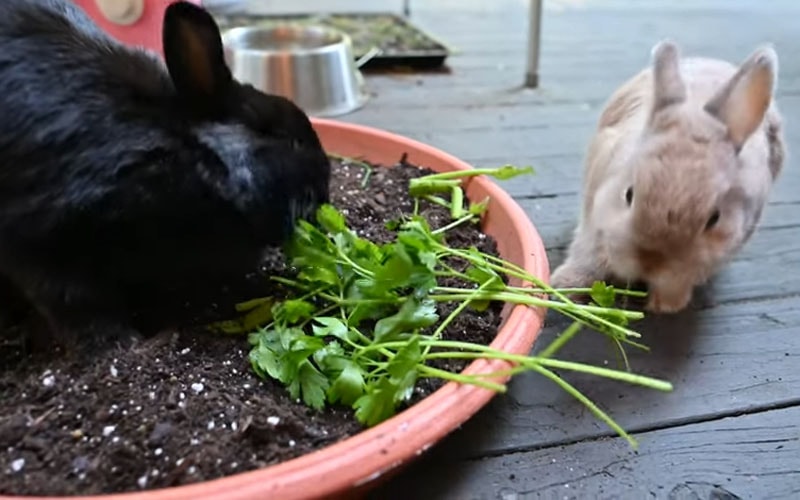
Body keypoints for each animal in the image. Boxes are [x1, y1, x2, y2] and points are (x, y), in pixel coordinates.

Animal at [549, 40, 786, 313]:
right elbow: (587, 255)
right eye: (628, 194)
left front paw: (665, 305)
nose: (650, 262)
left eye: (714, 219)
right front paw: (564, 287)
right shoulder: (592, 218)